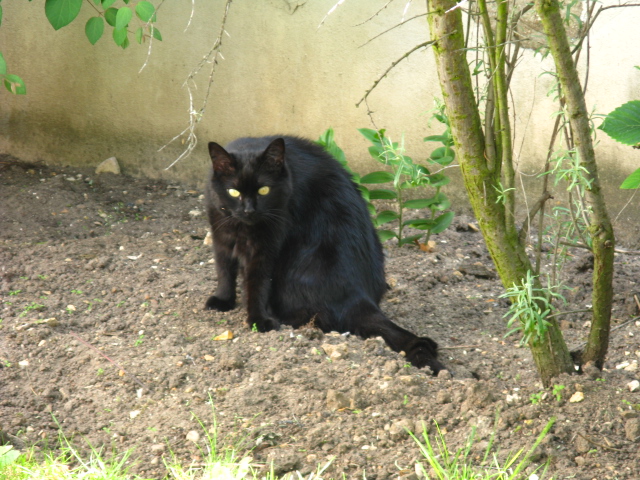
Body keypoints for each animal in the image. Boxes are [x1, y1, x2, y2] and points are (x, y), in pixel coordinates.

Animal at [202, 137, 442, 374]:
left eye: (264, 190)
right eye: (234, 192)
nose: (249, 211)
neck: (240, 227)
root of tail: (359, 297)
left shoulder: (266, 245)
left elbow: (257, 283)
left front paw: (258, 320)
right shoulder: (219, 232)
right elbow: (223, 269)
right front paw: (222, 300)